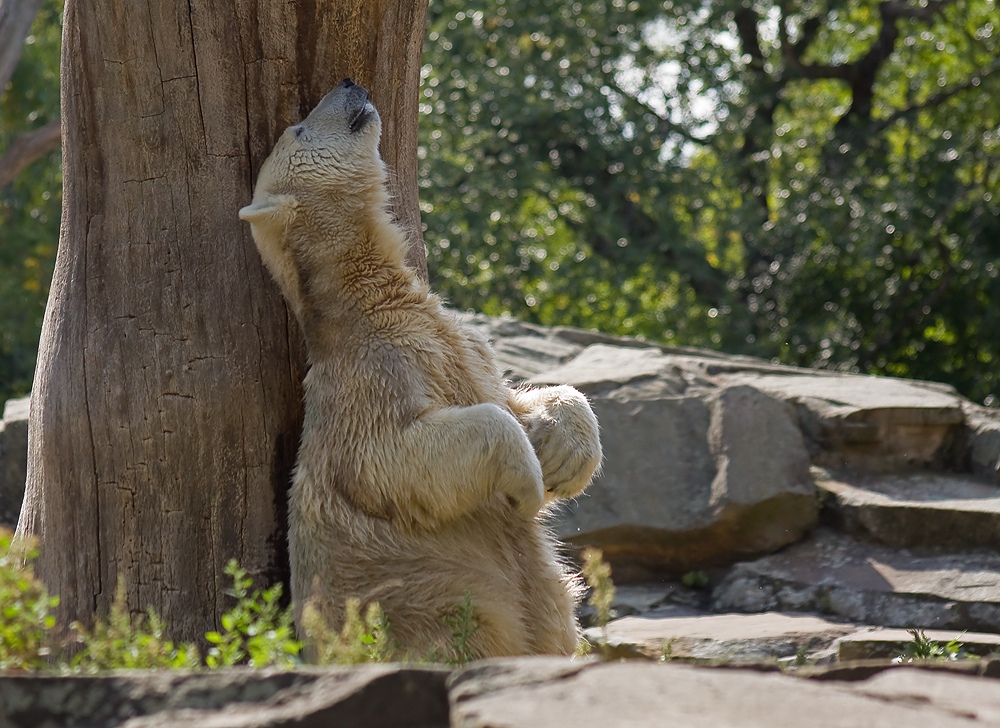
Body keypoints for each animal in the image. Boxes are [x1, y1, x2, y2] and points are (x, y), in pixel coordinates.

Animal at [240, 79, 600, 660]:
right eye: (297, 129)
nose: (347, 82)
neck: (369, 300)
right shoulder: (372, 376)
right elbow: (396, 455)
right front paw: (528, 483)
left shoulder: (461, 346)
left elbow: (511, 396)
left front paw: (565, 458)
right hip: (428, 605)